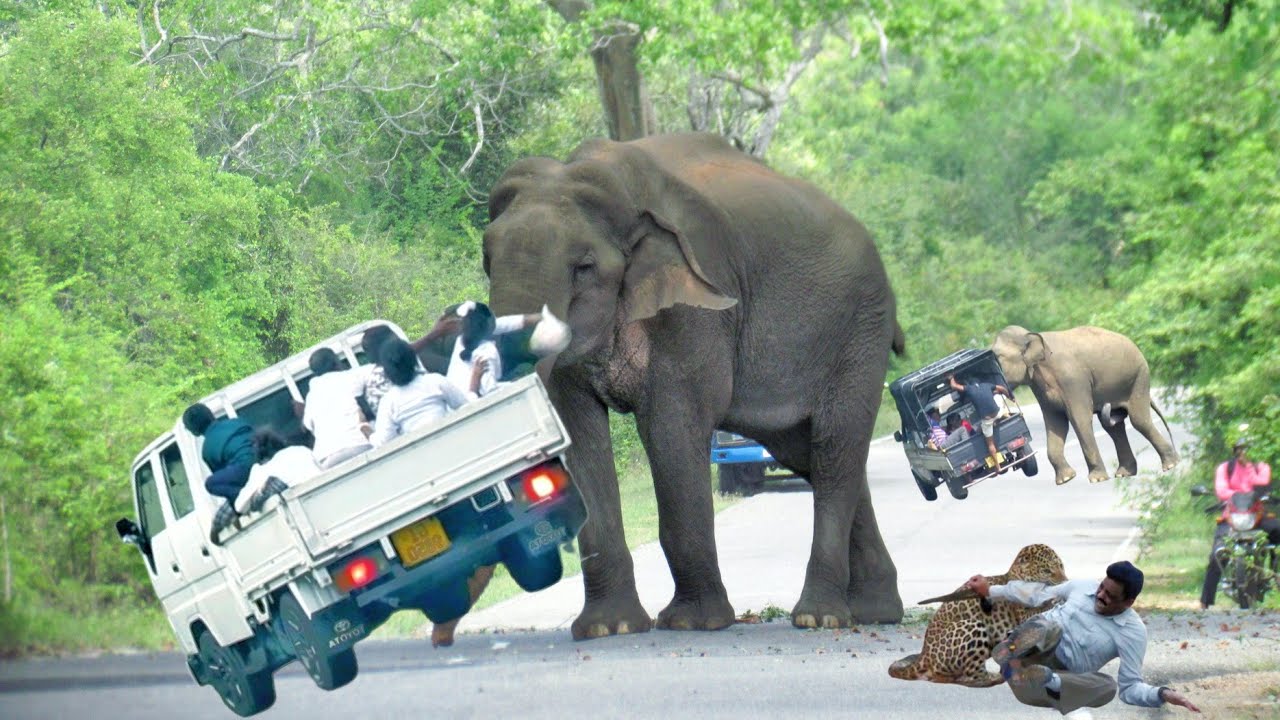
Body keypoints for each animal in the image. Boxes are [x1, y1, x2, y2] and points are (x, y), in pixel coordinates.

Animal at [482, 132, 907, 640]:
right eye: (486, 262)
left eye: (583, 267)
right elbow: (579, 436)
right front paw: (609, 628)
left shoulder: (696, 308)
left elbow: (672, 427)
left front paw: (693, 623)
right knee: (810, 453)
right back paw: (876, 611)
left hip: (859, 330)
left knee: (835, 448)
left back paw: (818, 617)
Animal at [990, 326, 1178, 485]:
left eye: (996, 358)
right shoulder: (1040, 388)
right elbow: (1055, 424)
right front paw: (1065, 479)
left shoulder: (1072, 380)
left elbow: (1079, 420)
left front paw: (1097, 480)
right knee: (1113, 426)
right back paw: (1124, 473)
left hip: (1138, 378)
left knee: (1138, 420)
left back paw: (1171, 465)